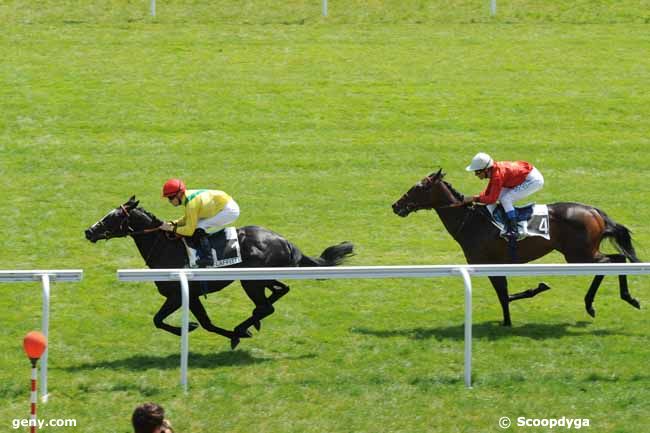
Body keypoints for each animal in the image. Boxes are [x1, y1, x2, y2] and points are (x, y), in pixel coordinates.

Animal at [85, 196, 354, 348]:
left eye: (112, 216)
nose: (88, 231)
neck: (166, 247)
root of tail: (284, 240)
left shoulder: (181, 295)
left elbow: (164, 320)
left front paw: (193, 328)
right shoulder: (188, 296)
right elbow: (200, 323)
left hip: (251, 282)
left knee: (267, 305)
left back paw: (243, 326)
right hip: (261, 278)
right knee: (279, 292)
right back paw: (251, 322)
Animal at [390, 169, 636, 324]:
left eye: (419, 186)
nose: (396, 205)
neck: (471, 221)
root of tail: (594, 211)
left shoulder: (487, 264)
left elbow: (503, 295)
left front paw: (508, 320)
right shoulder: (496, 265)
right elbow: (505, 295)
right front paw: (532, 293)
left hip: (579, 255)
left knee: (613, 261)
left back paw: (601, 302)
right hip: (582, 253)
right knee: (617, 260)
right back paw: (622, 298)